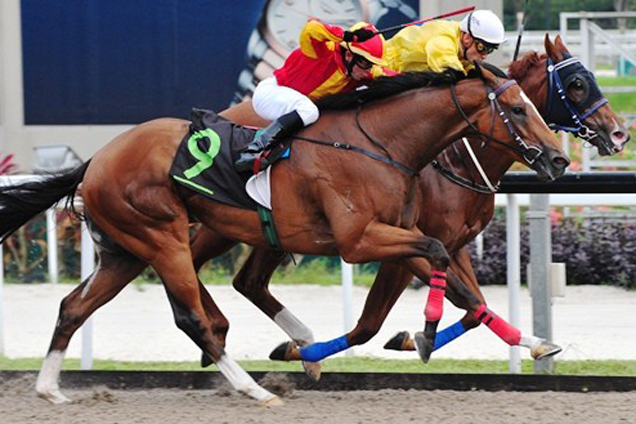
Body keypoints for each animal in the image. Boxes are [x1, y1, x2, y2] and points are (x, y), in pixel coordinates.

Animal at [0, 65, 568, 404]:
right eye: (518, 109)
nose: (559, 159)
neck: (384, 143)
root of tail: (95, 160)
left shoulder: (403, 233)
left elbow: (464, 292)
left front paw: (537, 343)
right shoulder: (361, 240)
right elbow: (430, 279)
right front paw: (423, 335)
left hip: (125, 251)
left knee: (75, 306)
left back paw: (50, 389)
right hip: (162, 236)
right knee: (192, 316)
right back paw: (253, 387)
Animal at [188, 34, 628, 376]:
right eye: (576, 84)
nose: (619, 133)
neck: (455, 158)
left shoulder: (454, 243)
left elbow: (474, 305)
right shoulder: (400, 245)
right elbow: (372, 322)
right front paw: (409, 339)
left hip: (274, 231)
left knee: (248, 282)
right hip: (223, 223)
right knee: (193, 261)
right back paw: (225, 333)